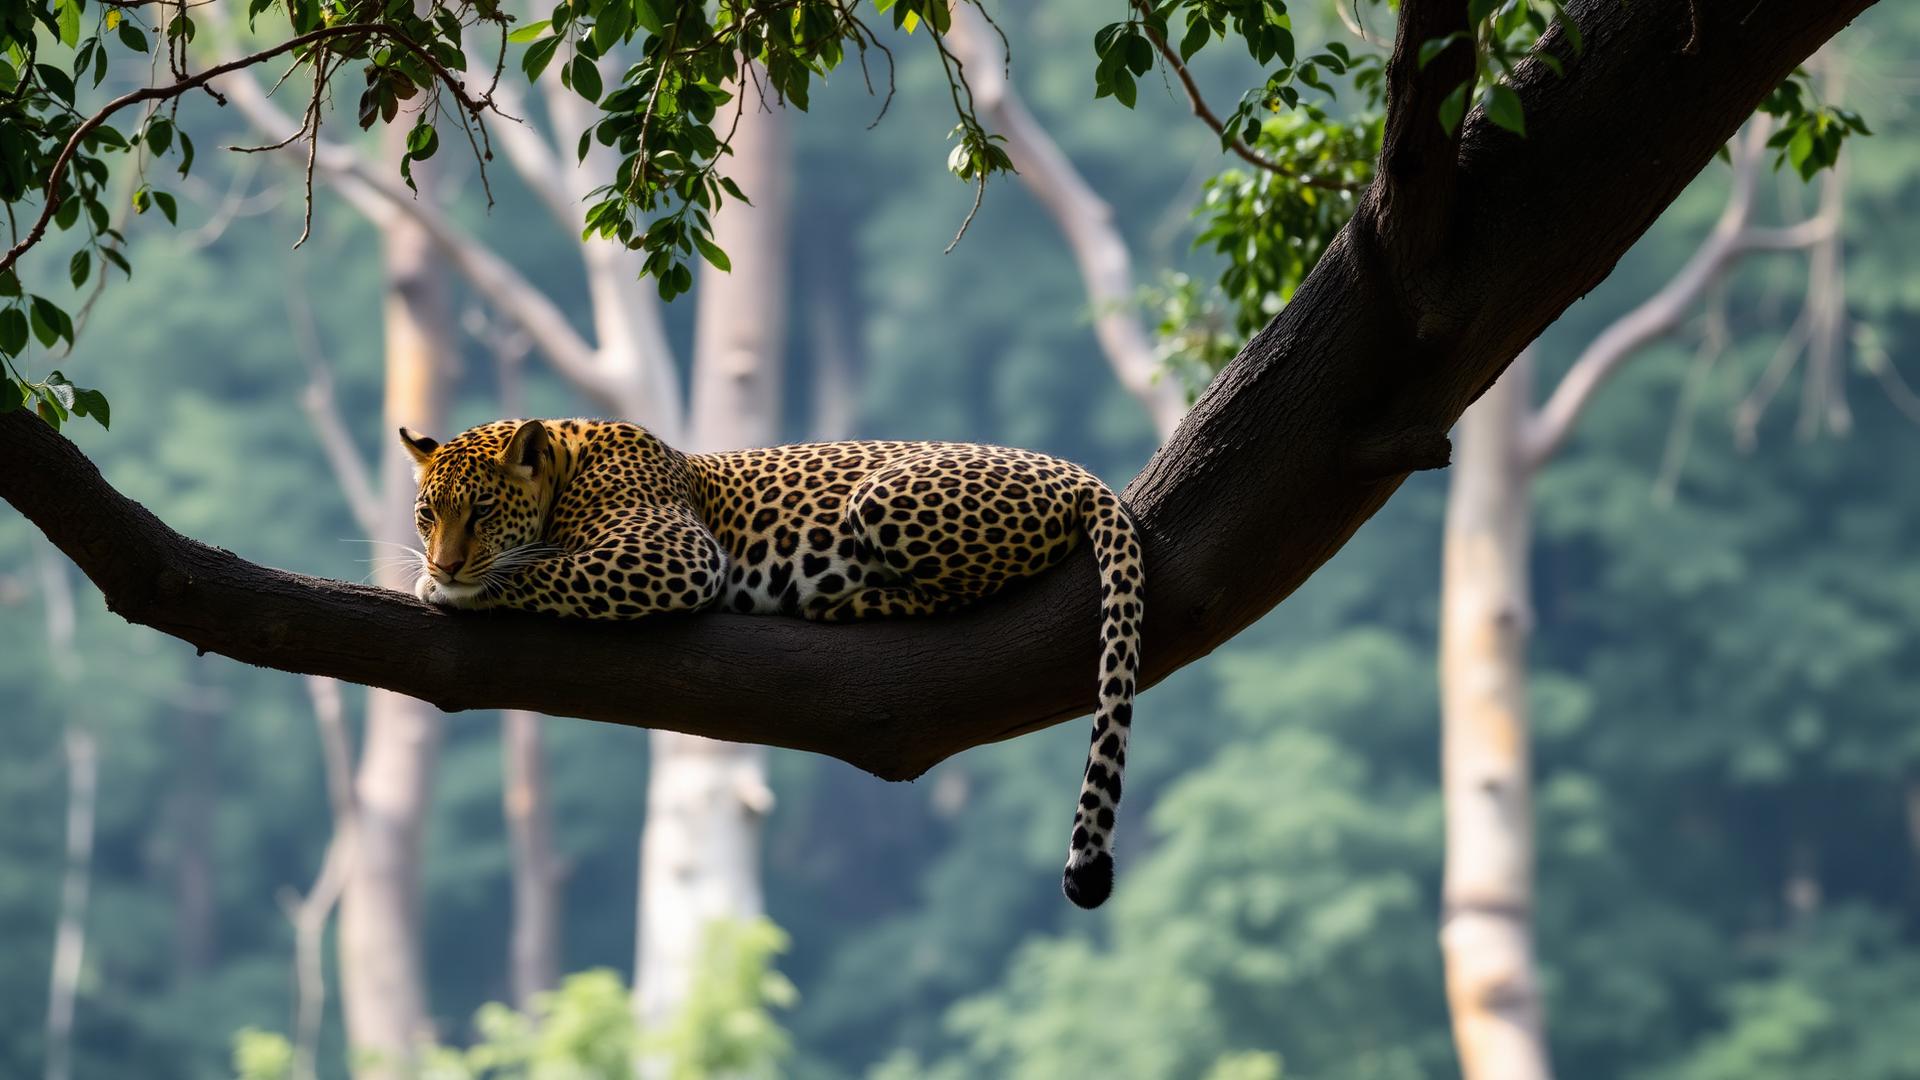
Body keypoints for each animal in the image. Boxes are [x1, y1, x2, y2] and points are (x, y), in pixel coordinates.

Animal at [400, 418, 1144, 909]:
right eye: (426, 515)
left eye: (482, 511)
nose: (442, 562)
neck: (566, 464)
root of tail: (1078, 471)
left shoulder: (673, 552)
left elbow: (540, 570)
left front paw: (452, 589)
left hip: (881, 497)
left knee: (960, 589)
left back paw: (842, 601)